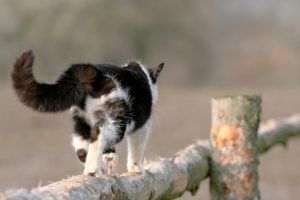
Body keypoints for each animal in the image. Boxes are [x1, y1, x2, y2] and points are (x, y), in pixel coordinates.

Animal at [11, 50, 164, 177]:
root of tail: (93, 73)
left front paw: (109, 160)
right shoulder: (142, 127)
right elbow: (136, 150)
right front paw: (136, 169)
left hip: (82, 120)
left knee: (82, 147)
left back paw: (99, 167)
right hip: (117, 120)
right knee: (98, 133)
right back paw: (93, 170)